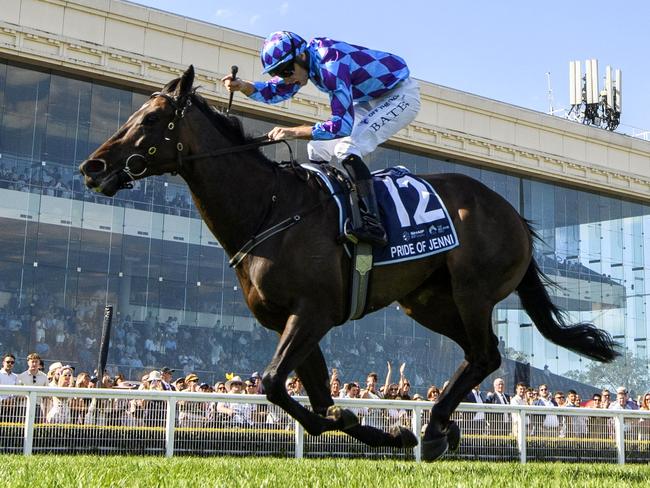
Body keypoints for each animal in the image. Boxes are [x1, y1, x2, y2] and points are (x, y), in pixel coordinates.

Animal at [78, 66, 616, 462]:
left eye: (150, 119)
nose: (92, 166)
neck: (270, 207)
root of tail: (512, 212)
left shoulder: (313, 312)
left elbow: (274, 383)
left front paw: (383, 429)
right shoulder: (292, 319)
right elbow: (306, 396)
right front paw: (380, 429)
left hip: (473, 290)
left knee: (486, 354)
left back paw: (436, 428)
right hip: (426, 302)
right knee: (477, 355)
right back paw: (441, 427)